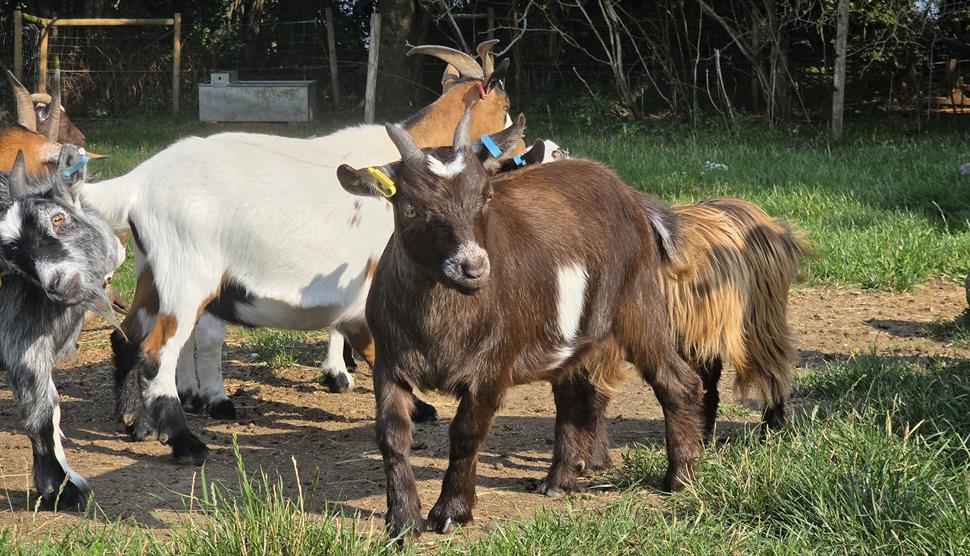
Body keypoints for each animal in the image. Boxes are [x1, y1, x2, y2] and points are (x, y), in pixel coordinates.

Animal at [0, 151, 125, 509]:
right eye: (11, 254)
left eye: (58, 218)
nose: (56, 283)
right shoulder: (19, 337)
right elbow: (42, 411)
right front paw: (60, 488)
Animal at [103, 42, 519, 466]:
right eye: (504, 102)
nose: (517, 151)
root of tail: (139, 181)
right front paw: (349, 378)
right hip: (188, 276)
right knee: (159, 350)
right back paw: (186, 440)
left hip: (153, 271)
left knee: (128, 334)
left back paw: (137, 421)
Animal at [335, 113, 705, 537]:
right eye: (410, 208)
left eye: (486, 196)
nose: (473, 268)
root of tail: (629, 193)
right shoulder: (389, 362)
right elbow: (392, 434)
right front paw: (403, 519)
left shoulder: (494, 366)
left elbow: (466, 432)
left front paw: (451, 511)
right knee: (575, 396)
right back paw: (559, 480)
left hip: (638, 300)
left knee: (676, 381)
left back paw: (679, 478)